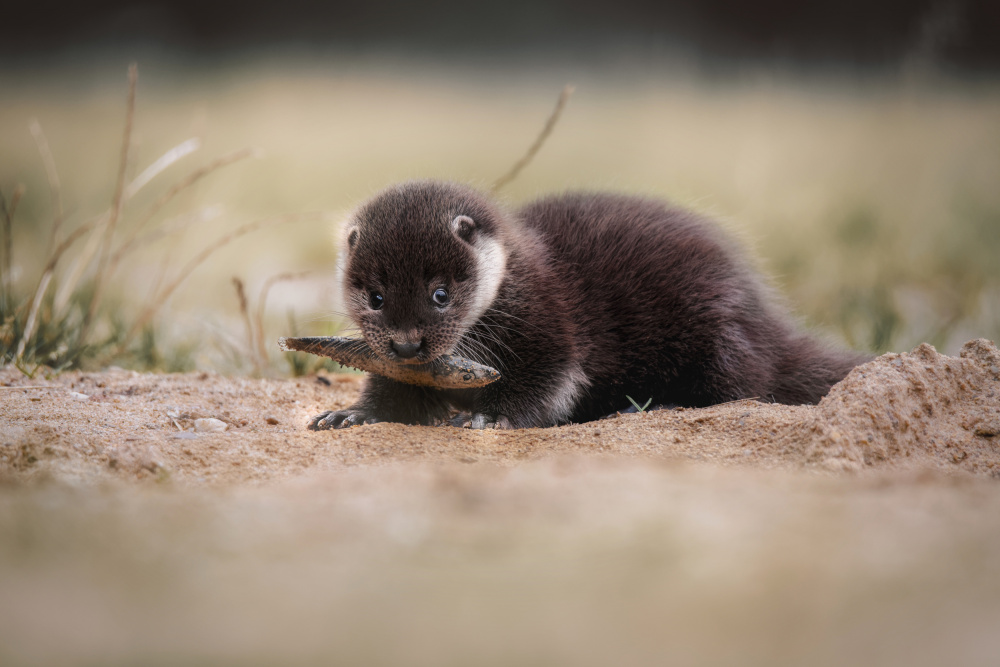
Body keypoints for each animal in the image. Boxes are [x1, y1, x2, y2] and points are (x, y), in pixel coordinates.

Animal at [310, 183, 868, 430]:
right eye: (376, 297)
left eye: (440, 294)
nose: (407, 346)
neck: (517, 277)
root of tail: (766, 320)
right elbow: (395, 395)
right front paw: (352, 413)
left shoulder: (548, 327)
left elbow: (547, 382)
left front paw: (490, 416)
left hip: (716, 329)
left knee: (741, 385)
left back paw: (657, 406)